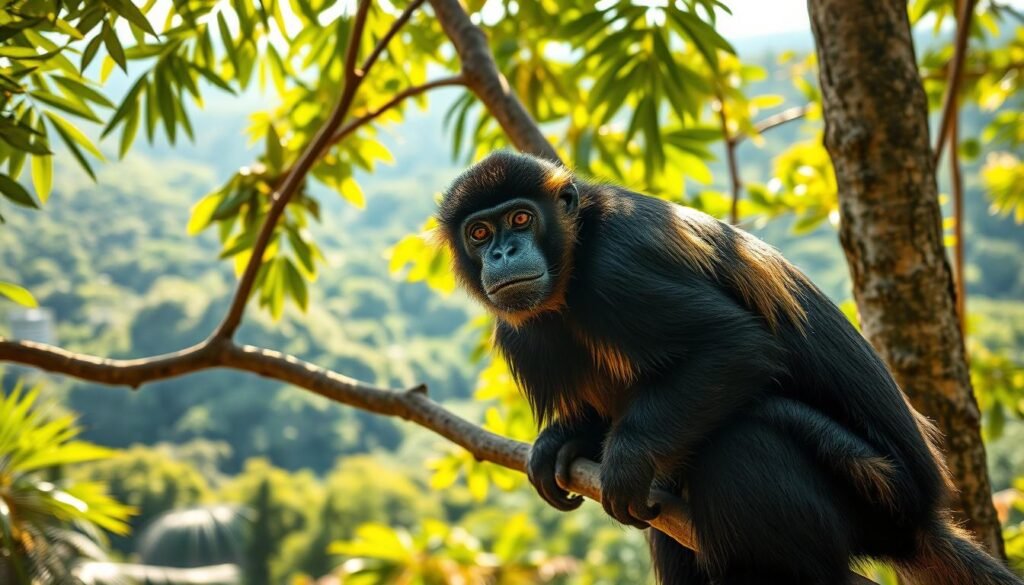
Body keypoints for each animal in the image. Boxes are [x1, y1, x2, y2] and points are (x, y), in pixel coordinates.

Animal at [435, 151, 1023, 585]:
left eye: (520, 218)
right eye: (479, 234)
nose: (503, 254)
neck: (571, 267)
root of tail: (922, 519)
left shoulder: (616, 269)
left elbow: (735, 344)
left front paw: (624, 458)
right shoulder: (521, 326)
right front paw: (562, 442)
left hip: (880, 497)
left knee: (746, 434)